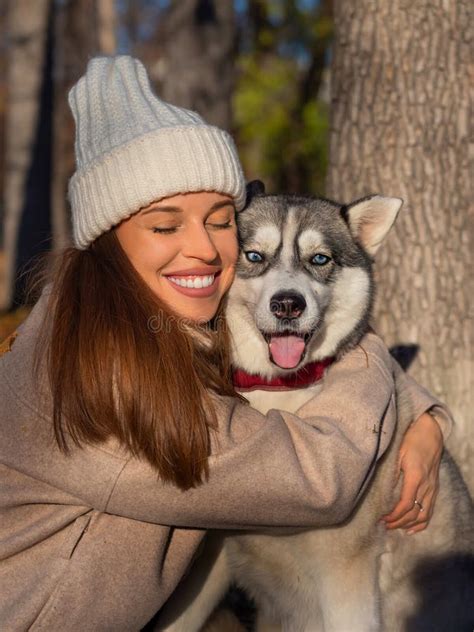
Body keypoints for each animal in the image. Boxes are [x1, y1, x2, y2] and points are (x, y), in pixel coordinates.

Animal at [160, 185, 474, 628]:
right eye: (254, 255)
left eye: (320, 259)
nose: (288, 304)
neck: (277, 394)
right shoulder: (208, 564)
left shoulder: (345, 577)